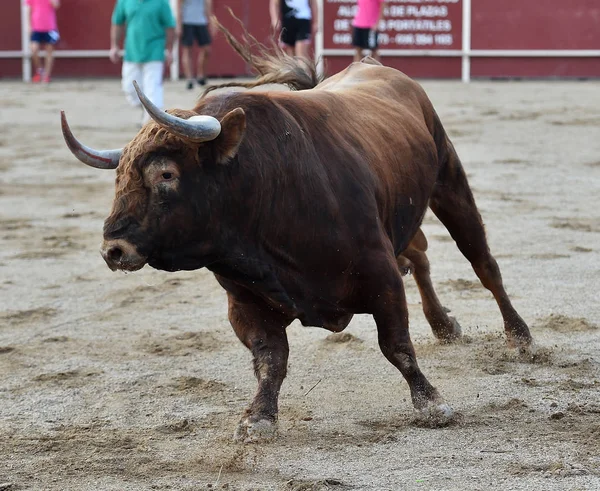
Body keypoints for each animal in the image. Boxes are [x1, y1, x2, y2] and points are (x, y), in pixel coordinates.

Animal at [61, 41, 532, 442]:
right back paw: (444, 325)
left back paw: (519, 337)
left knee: (482, 262)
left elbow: (396, 344)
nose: (113, 250)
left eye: (166, 174)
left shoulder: (380, 275)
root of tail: (375, 66)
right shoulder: (245, 302)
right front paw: (258, 418)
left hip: (449, 179)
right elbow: (271, 360)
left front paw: (431, 402)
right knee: (419, 257)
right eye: (119, 177)